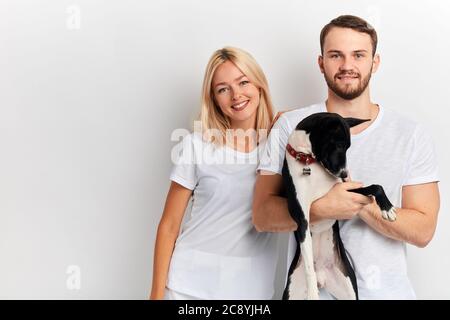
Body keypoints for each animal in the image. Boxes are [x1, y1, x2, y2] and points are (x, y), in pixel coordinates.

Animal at [282, 112, 398, 300]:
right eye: (338, 145)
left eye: (347, 147)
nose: (344, 173)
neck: (309, 163)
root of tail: (322, 276)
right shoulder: (302, 219)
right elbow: (308, 268)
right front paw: (312, 294)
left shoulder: (347, 190)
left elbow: (376, 187)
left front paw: (387, 208)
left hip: (348, 289)